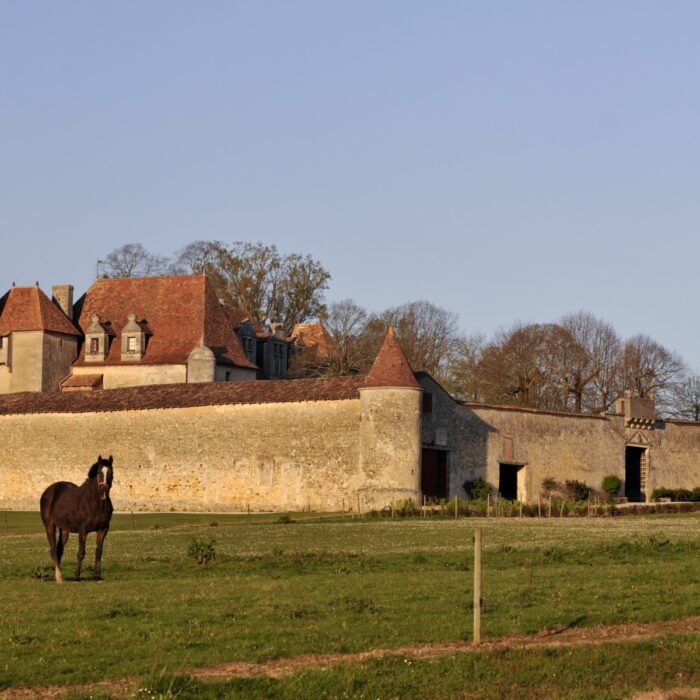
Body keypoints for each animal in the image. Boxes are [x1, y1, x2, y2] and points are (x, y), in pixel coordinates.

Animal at [39, 456, 114, 584]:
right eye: (99, 472)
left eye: (110, 472)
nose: (103, 492)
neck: (94, 503)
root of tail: (48, 491)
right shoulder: (83, 530)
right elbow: (81, 552)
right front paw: (77, 577)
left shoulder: (103, 529)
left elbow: (98, 552)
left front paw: (97, 576)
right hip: (49, 526)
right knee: (53, 550)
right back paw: (59, 578)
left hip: (64, 530)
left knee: (59, 550)